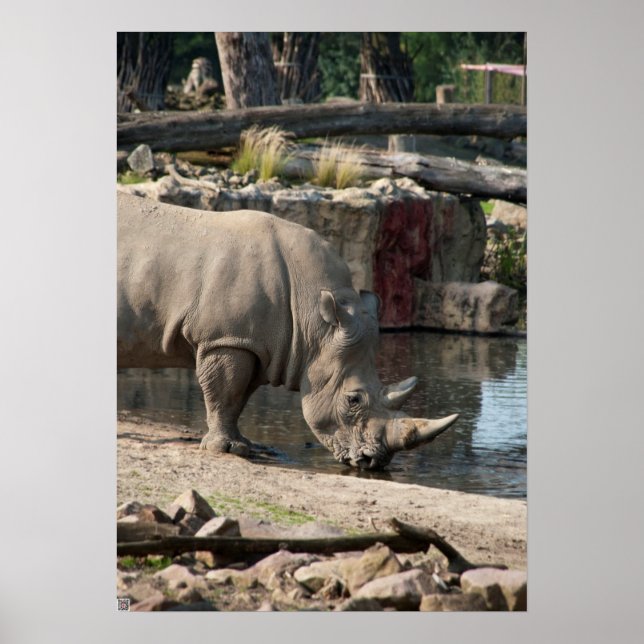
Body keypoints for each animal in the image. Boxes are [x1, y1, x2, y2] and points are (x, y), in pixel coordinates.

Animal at [117, 192, 458, 469]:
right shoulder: (226, 339)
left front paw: (243, 444)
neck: (316, 322)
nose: (373, 461)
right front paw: (225, 450)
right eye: (353, 400)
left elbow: (238, 397)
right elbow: (223, 392)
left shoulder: (259, 345)